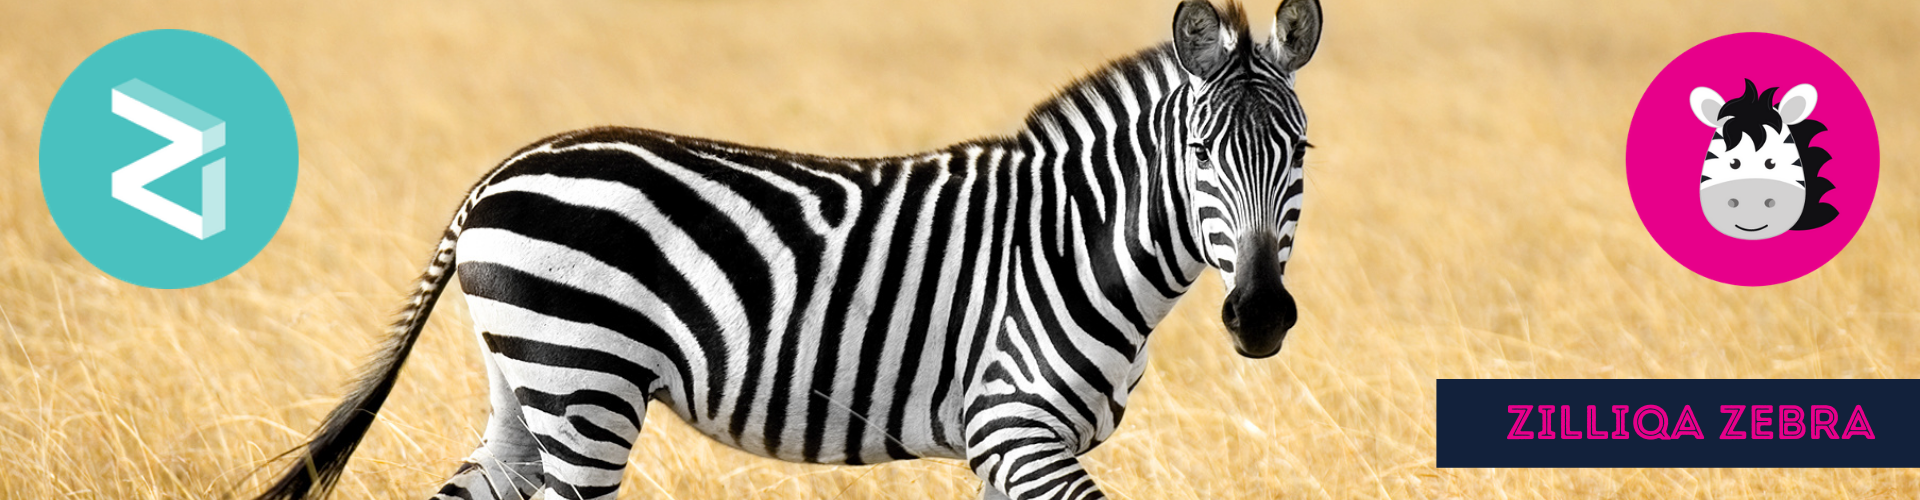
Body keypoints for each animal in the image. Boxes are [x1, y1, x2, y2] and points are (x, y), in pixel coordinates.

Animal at [255, 1, 1322, 499]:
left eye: (1301, 153)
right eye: (1198, 155)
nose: (1262, 316)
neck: (1072, 241)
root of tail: (501, 172)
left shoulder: (1002, 449)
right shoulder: (1017, 428)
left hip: (529, 387)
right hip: (586, 380)